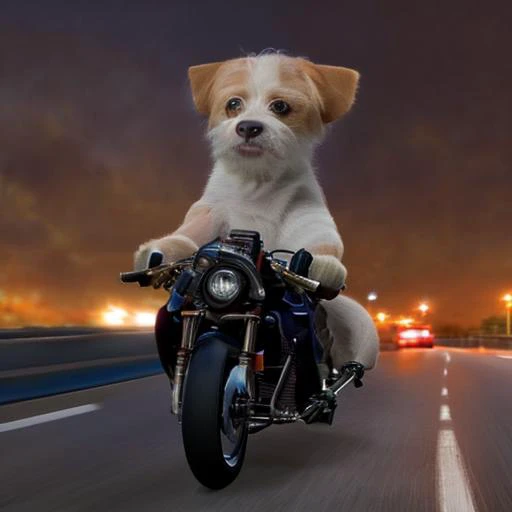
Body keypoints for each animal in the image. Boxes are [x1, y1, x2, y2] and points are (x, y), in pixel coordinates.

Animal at [134, 52, 378, 372]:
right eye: (233, 104)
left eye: (281, 107)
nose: (248, 126)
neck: (257, 185)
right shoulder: (211, 211)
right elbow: (189, 233)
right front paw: (161, 252)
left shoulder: (309, 215)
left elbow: (321, 242)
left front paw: (324, 265)